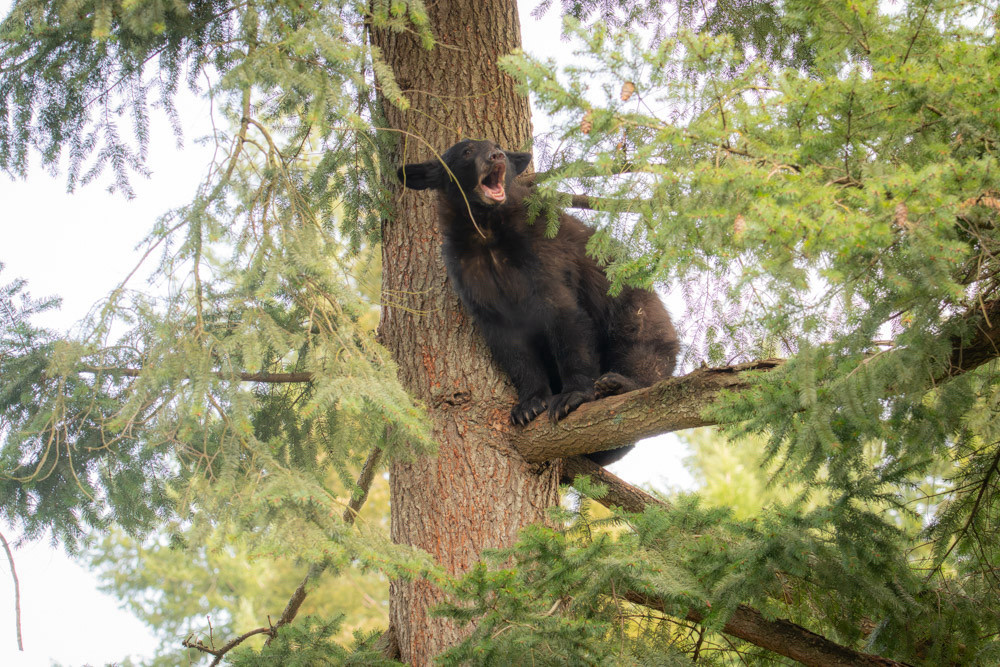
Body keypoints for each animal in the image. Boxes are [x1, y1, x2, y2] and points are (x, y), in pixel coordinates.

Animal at [398, 140, 680, 464]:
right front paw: (529, 404)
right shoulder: (471, 276)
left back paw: (618, 384)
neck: (487, 231)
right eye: (466, 151)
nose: (496, 156)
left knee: (642, 354)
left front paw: (572, 396)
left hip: (636, 310)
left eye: (496, 146)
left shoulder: (543, 251)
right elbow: (510, 344)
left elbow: (565, 316)